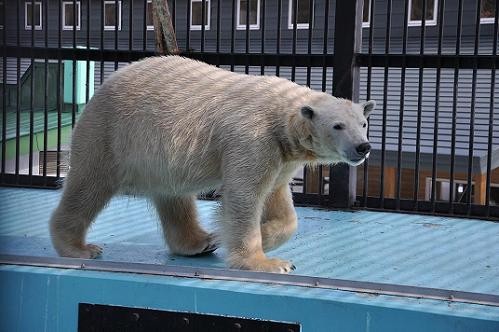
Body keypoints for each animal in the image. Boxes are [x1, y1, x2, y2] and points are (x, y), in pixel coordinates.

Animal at [49, 55, 376, 274]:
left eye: (363, 123)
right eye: (337, 126)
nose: (364, 146)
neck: (282, 118)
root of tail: (103, 86)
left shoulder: (281, 155)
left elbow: (279, 198)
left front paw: (262, 237)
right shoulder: (252, 139)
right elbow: (244, 196)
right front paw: (267, 262)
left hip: (160, 158)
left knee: (174, 197)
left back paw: (200, 242)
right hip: (111, 133)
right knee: (89, 185)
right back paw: (79, 247)